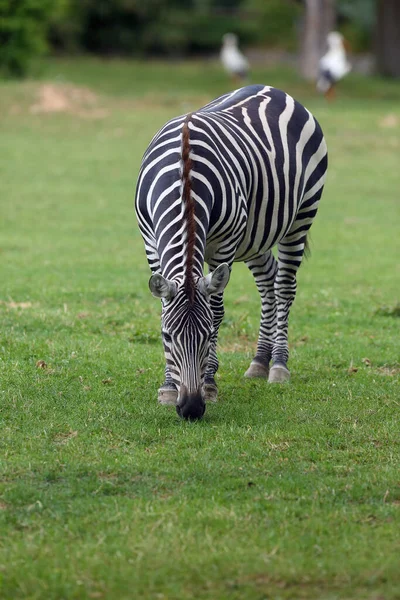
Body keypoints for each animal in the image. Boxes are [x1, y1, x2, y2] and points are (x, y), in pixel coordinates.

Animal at [135, 84, 328, 420]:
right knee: (267, 282)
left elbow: (217, 311)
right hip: (255, 235)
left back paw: (278, 365)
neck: (184, 177)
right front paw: (168, 386)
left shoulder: (224, 244)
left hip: (301, 216)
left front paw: (210, 383)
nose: (191, 409)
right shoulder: (150, 240)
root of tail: (273, 89)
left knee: (284, 286)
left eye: (208, 334)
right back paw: (259, 362)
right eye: (167, 337)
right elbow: (162, 308)